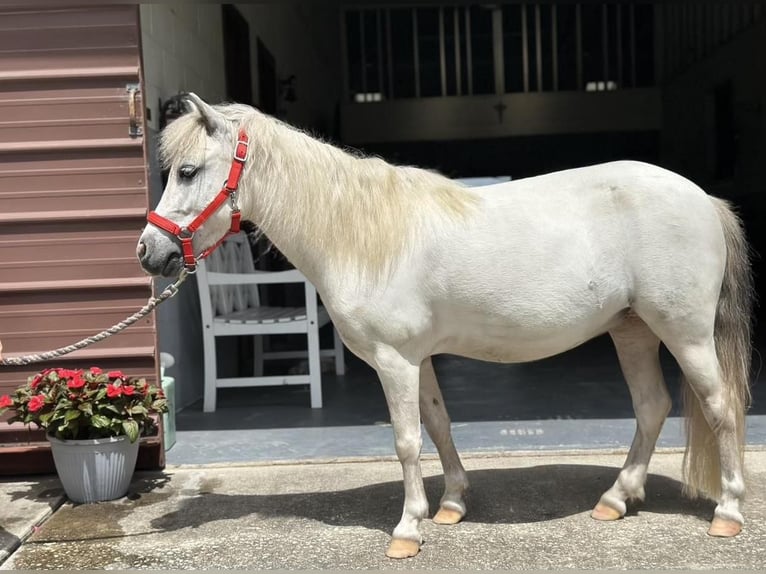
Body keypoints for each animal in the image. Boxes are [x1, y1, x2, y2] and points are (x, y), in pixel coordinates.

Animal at [138, 93, 756, 560]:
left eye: (189, 171)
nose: (149, 252)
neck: (358, 235)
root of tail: (703, 198)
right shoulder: (417, 359)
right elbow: (438, 426)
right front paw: (453, 505)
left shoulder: (394, 361)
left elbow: (407, 441)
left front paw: (407, 530)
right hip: (632, 331)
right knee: (652, 408)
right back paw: (615, 499)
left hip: (685, 334)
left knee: (720, 407)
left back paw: (727, 511)